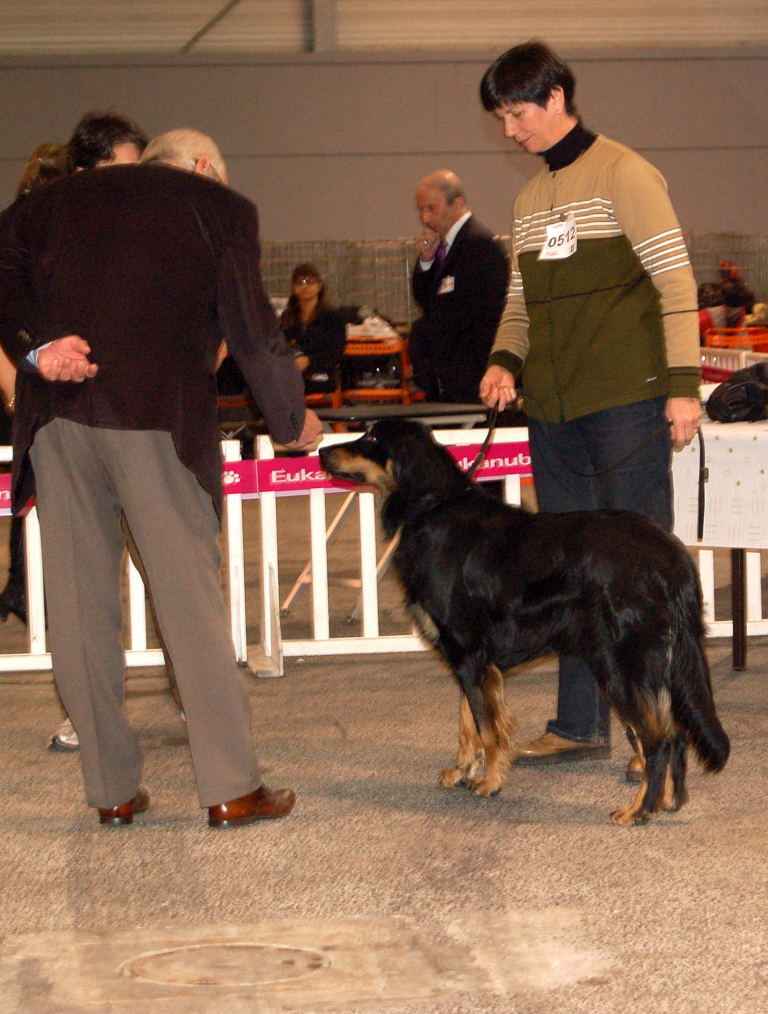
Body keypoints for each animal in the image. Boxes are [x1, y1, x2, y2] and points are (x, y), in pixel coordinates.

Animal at [318, 417, 730, 823]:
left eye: (372, 438)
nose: (322, 452)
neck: (432, 508)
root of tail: (672, 556)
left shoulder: (468, 653)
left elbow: (485, 728)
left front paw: (489, 782)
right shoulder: (472, 659)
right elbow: (467, 720)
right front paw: (462, 770)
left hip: (621, 665)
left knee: (658, 740)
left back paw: (638, 810)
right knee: (675, 736)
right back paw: (669, 801)